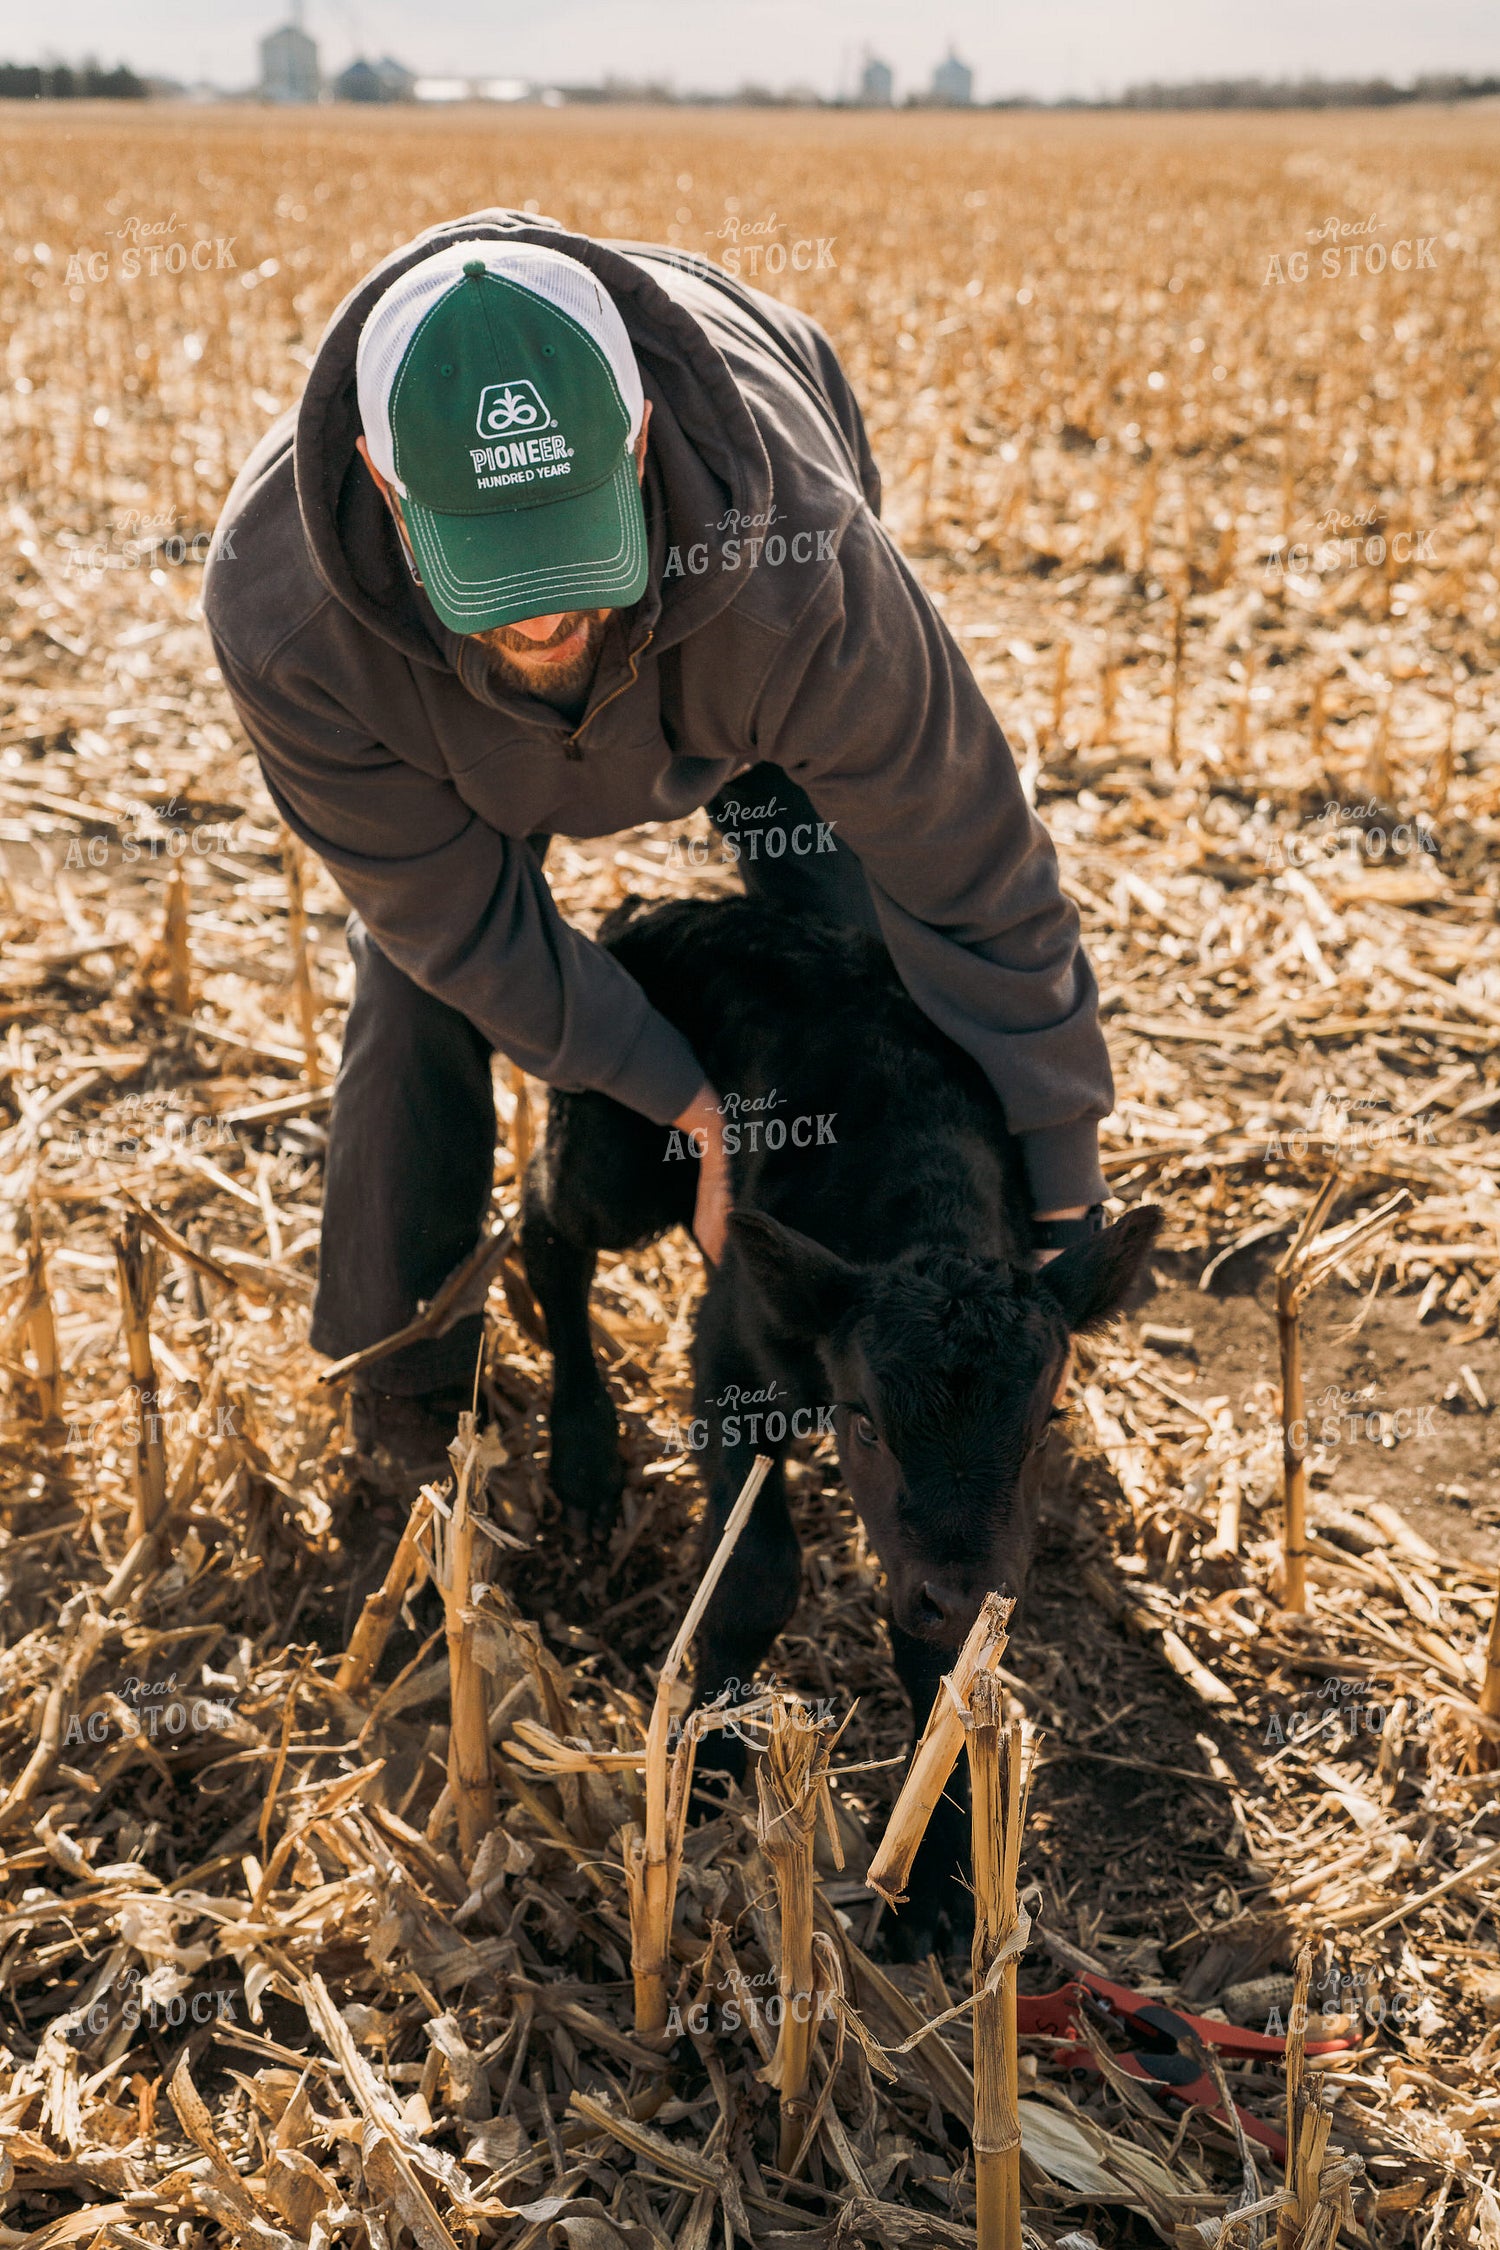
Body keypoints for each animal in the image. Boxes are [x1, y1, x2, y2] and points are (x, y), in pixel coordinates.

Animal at [520, 894, 1159, 1951]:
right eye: (866, 1426)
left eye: (1045, 1424)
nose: (960, 1586)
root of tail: (670, 907)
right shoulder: (730, 1353)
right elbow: (754, 1574)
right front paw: (706, 1778)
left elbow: (945, 1661)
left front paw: (934, 1880)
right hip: (614, 1150)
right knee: (547, 1220)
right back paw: (583, 1451)